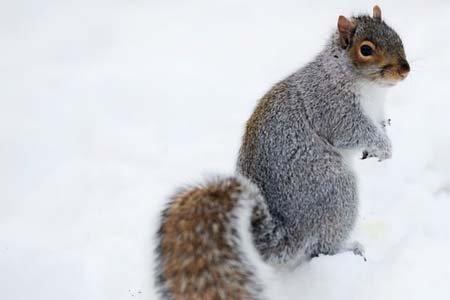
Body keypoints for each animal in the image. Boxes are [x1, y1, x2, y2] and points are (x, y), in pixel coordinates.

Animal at [156, 5, 410, 300]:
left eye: (396, 34)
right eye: (366, 49)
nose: (405, 70)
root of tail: (289, 232)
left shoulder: (376, 112)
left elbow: (379, 126)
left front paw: (379, 148)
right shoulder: (332, 107)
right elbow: (353, 131)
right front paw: (384, 147)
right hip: (336, 192)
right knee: (320, 248)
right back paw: (348, 250)